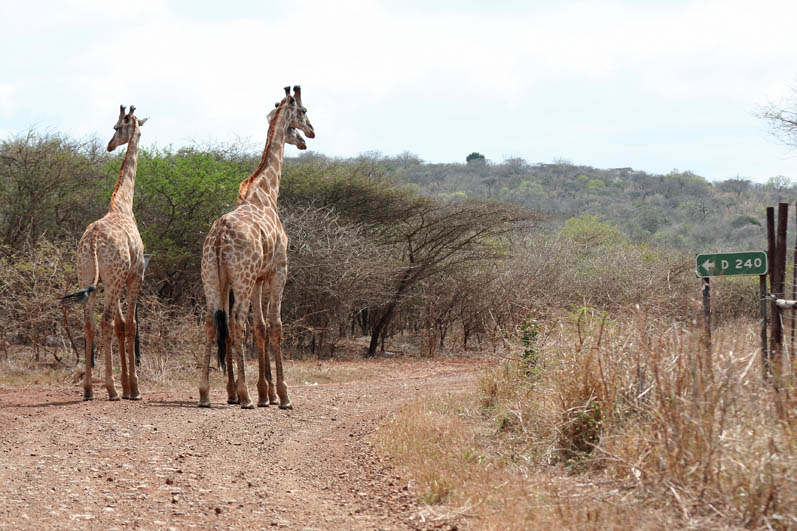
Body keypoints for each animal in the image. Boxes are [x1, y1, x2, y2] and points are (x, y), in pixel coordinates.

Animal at [62, 106, 149, 402]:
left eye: (115, 127)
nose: (110, 145)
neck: (123, 205)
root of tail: (93, 241)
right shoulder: (134, 276)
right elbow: (130, 324)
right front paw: (133, 387)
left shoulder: (116, 279)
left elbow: (123, 325)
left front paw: (127, 385)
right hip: (110, 279)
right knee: (106, 321)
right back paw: (110, 389)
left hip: (87, 276)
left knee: (89, 323)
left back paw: (89, 389)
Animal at [199, 86, 314, 412]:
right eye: (303, 112)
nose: (309, 135)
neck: (267, 192)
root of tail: (219, 237)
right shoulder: (277, 271)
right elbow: (274, 325)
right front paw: (281, 396)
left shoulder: (260, 276)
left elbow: (261, 326)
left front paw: (267, 393)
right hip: (242, 277)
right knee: (237, 322)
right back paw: (245, 396)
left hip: (214, 277)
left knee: (212, 322)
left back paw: (206, 393)